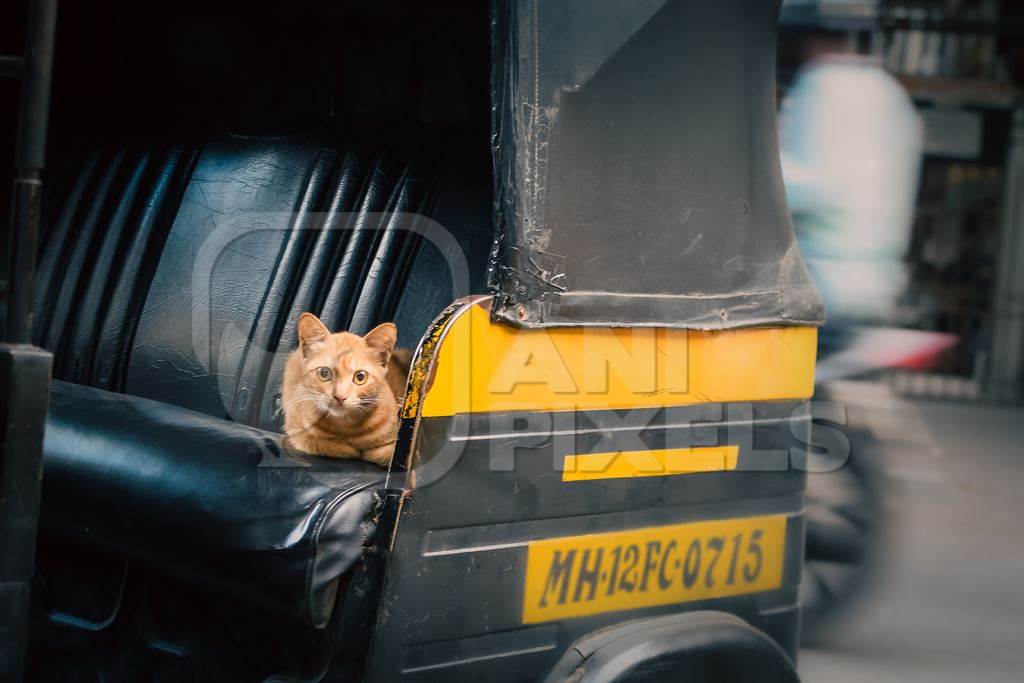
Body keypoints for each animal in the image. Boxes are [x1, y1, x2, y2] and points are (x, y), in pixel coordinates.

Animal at [282, 313, 409, 464]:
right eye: (324, 373)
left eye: (360, 377)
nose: (340, 396)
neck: (346, 427)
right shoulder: (294, 425)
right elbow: (318, 442)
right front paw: (349, 450)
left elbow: (385, 453)